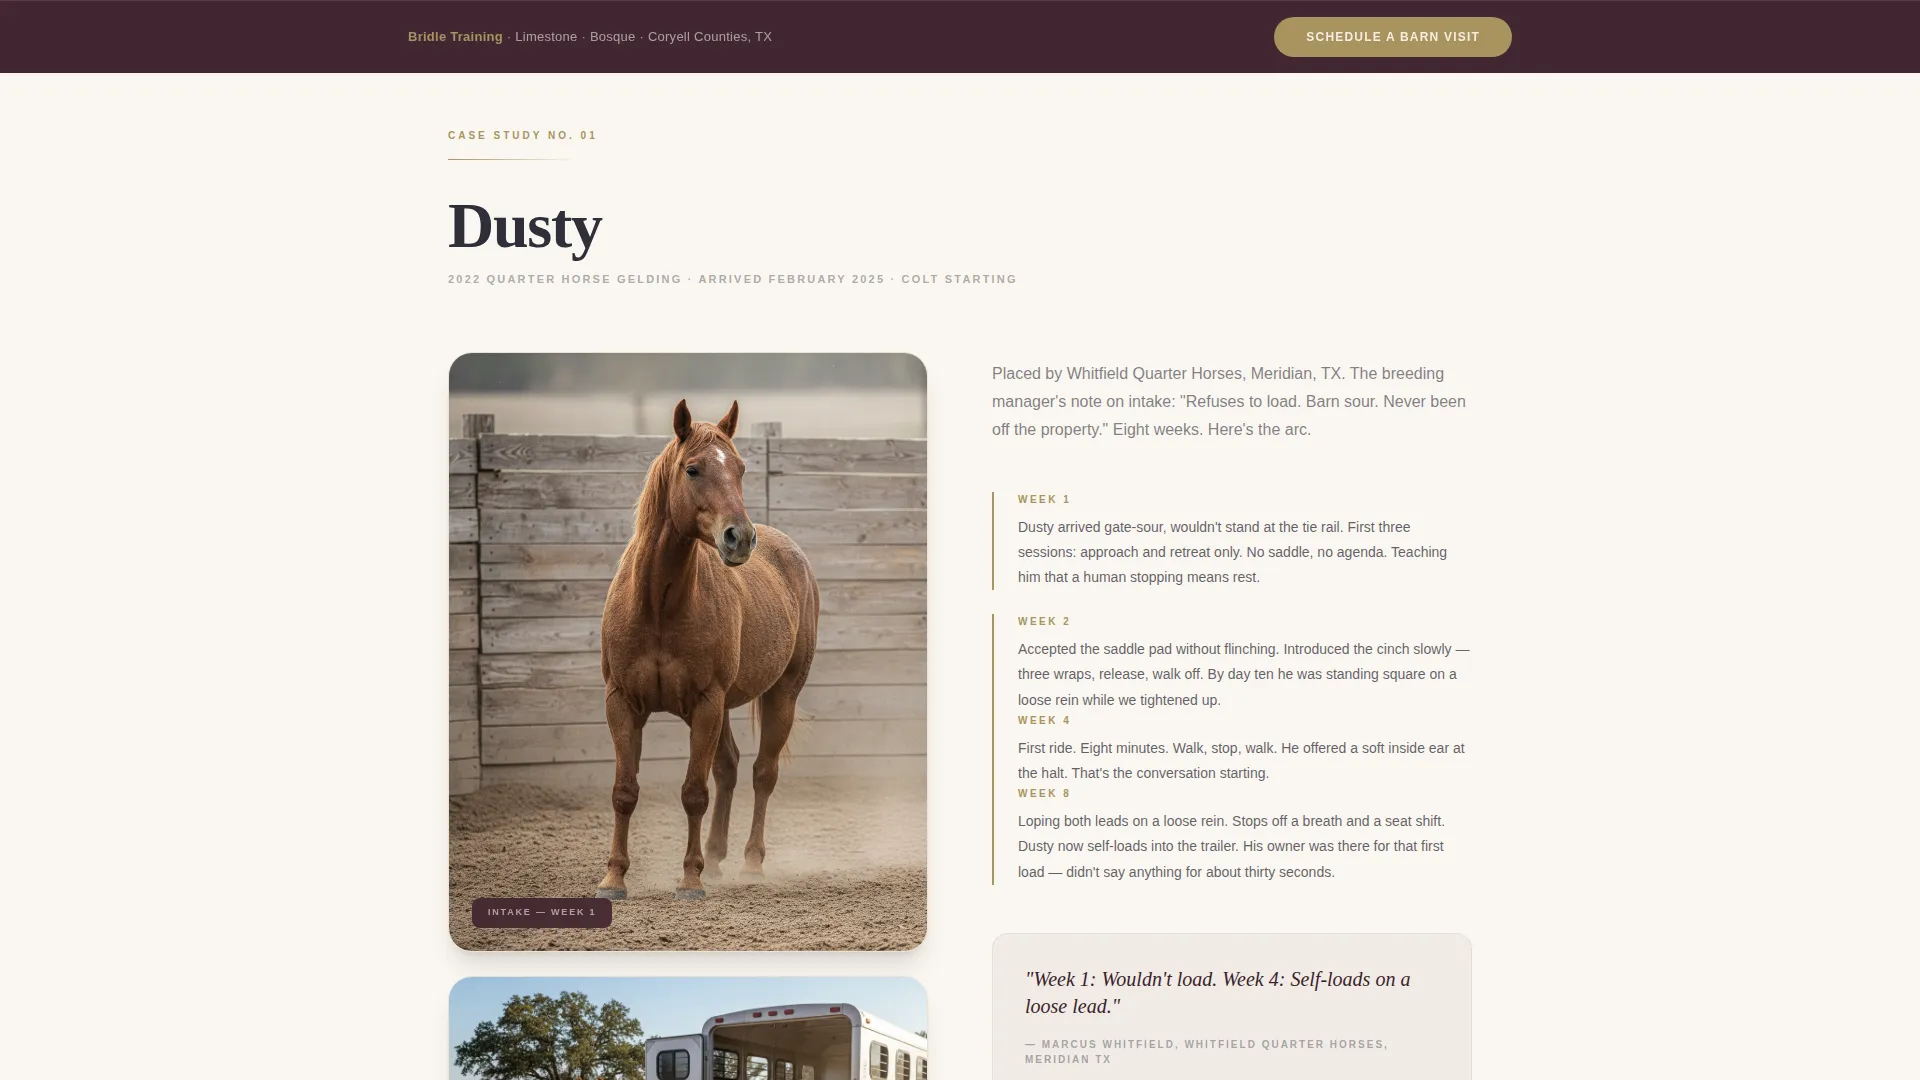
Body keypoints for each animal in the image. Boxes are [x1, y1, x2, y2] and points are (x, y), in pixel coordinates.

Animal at [595, 399, 819, 901]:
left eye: (740, 469)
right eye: (693, 469)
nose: (740, 538)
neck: (658, 605)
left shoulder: (706, 703)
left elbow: (694, 792)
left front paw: (689, 879)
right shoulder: (622, 703)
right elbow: (624, 790)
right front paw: (613, 877)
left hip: (781, 695)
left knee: (762, 773)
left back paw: (749, 863)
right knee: (730, 767)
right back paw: (716, 858)